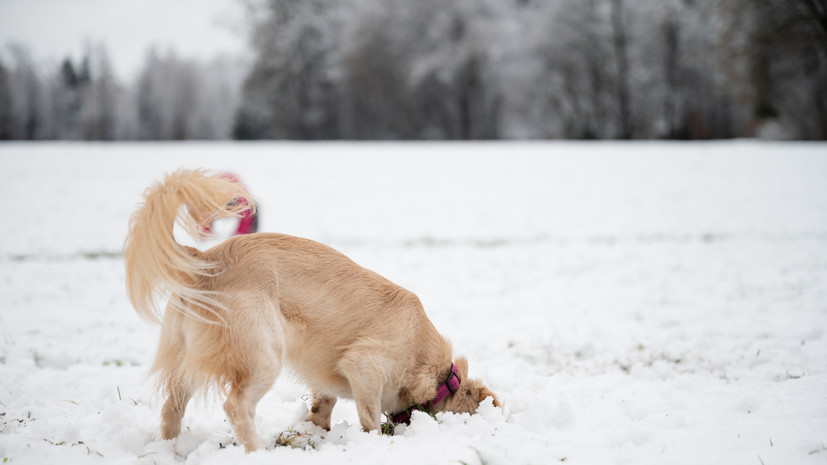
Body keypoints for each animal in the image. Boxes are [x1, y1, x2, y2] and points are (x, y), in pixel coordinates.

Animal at [123, 168, 498, 450]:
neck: (430, 365)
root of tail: (206, 259)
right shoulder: (365, 366)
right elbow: (370, 416)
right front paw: (374, 444)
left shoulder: (328, 381)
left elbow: (322, 408)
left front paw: (315, 433)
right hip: (264, 355)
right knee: (236, 405)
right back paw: (256, 451)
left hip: (189, 360)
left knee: (171, 409)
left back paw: (169, 450)